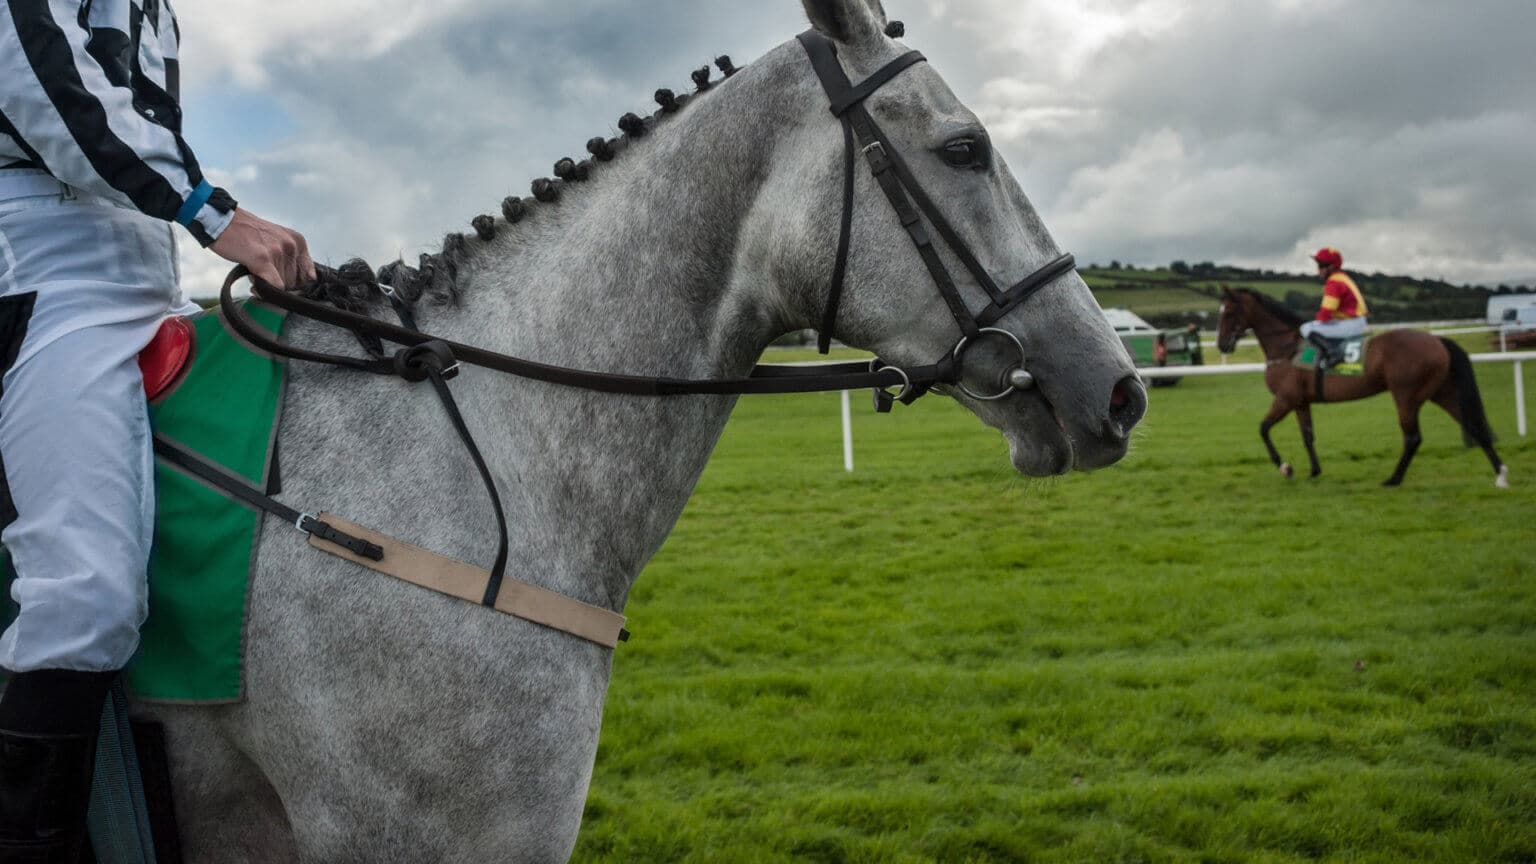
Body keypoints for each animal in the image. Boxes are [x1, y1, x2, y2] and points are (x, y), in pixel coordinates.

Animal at [1216, 287, 1505, 485]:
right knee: (1474, 427)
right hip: (1440, 392)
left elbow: (1263, 429)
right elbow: (1307, 436)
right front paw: (1314, 471)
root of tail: (1436, 340)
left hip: (1406, 395)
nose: (1221, 345)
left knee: (1413, 437)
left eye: (1228, 312)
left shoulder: (1285, 398)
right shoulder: (1300, 401)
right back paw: (1501, 474)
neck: (1286, 348)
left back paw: (1394, 479)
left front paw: (1285, 467)